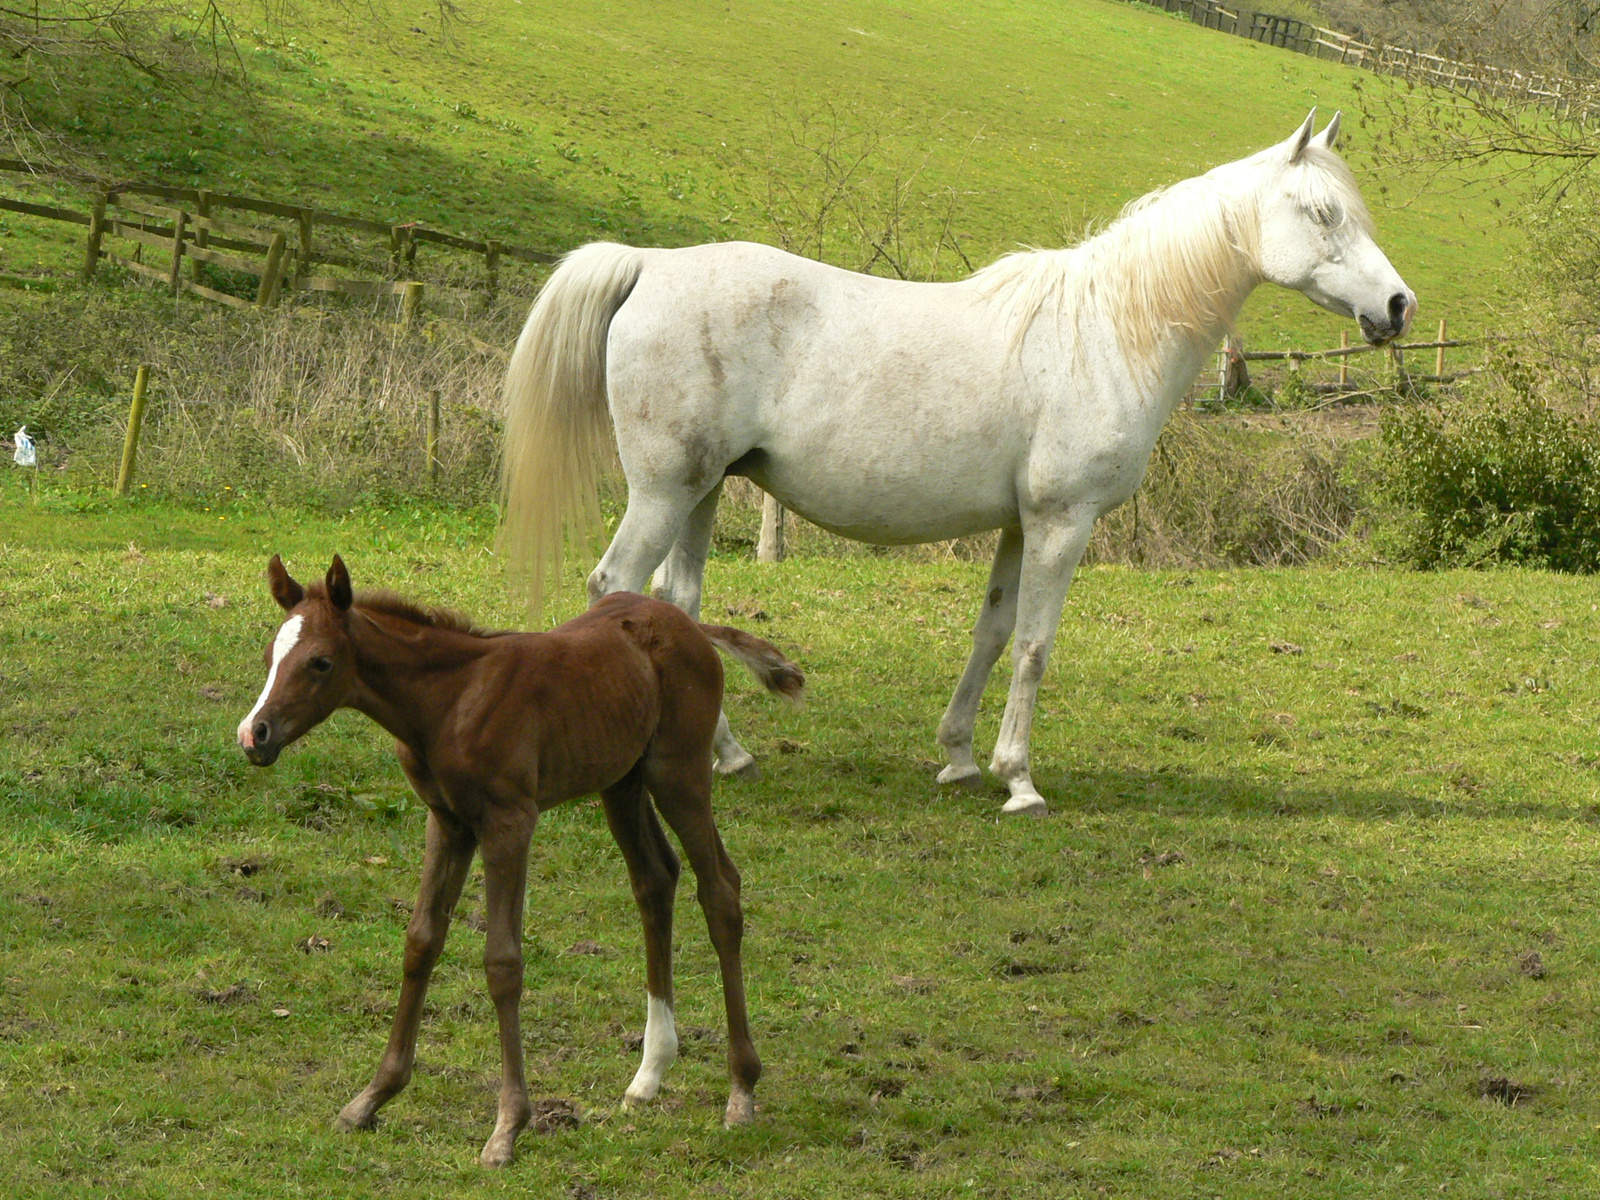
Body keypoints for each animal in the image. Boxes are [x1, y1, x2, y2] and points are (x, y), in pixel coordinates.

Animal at [235, 560, 800, 1171]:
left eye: (320, 662)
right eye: (269, 657)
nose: (254, 734)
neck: (449, 701)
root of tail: (691, 627)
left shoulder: (509, 822)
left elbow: (502, 962)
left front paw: (507, 1127)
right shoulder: (448, 822)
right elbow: (421, 941)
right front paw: (371, 1098)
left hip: (679, 772)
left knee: (720, 889)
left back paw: (741, 1090)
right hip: (621, 781)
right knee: (655, 880)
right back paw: (648, 1076)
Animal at [499, 115, 1414, 819]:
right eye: (1323, 213)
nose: (1398, 307)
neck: (1107, 331)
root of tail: (651, 262)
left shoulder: (1018, 525)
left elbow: (994, 632)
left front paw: (961, 759)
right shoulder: (1062, 522)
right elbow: (1037, 645)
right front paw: (1022, 783)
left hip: (702, 490)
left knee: (677, 603)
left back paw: (729, 756)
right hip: (664, 491)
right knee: (614, 584)